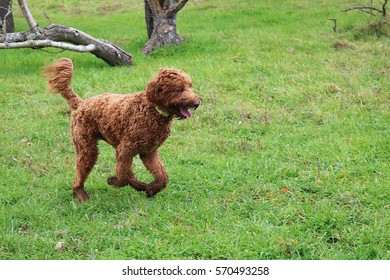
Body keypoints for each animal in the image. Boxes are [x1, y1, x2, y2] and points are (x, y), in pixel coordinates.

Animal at [42, 57, 201, 201]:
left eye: (190, 86)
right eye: (178, 89)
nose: (197, 103)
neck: (153, 110)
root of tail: (81, 103)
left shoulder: (148, 152)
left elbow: (162, 176)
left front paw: (151, 189)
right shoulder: (125, 149)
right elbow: (123, 177)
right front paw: (114, 181)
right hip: (87, 148)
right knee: (79, 176)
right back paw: (81, 194)